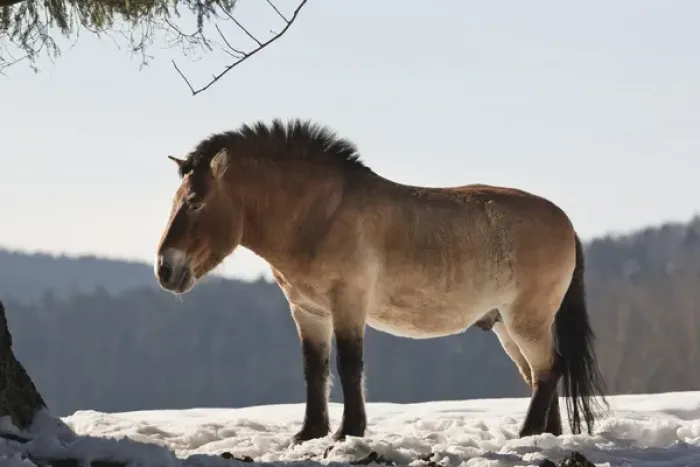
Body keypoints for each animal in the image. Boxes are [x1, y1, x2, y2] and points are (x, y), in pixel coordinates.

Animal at [154, 118, 608, 443]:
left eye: (195, 202)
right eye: (176, 201)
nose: (164, 269)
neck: (320, 215)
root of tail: (566, 224)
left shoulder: (348, 304)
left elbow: (349, 366)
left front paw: (348, 432)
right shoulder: (308, 312)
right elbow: (314, 369)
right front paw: (309, 434)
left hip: (525, 320)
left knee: (548, 370)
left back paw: (527, 435)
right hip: (507, 327)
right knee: (541, 374)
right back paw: (545, 437)